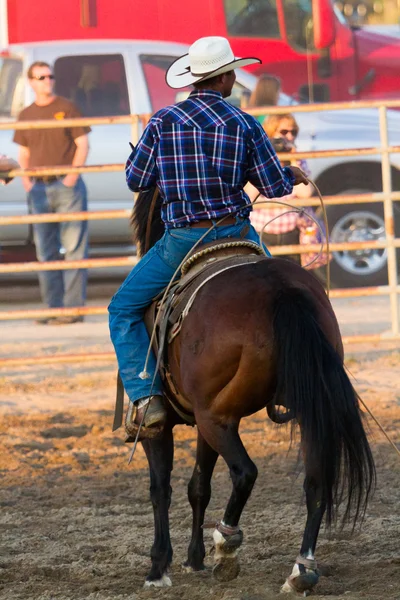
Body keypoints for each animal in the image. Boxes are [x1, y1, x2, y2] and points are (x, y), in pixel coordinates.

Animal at [130, 190, 374, 592]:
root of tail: (281, 291)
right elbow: (198, 486)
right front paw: (193, 559)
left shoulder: (157, 424)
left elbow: (159, 488)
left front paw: (158, 567)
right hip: (292, 411)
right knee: (316, 480)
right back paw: (300, 571)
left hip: (216, 418)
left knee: (245, 472)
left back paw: (227, 545)